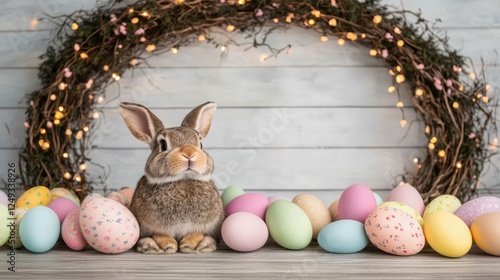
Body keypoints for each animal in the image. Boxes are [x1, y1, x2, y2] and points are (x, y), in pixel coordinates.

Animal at [118, 101, 224, 254]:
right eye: (163, 144)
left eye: (201, 144)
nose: (189, 152)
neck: (182, 180)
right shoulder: (150, 226)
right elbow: (160, 234)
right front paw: (168, 246)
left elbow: (196, 234)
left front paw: (188, 245)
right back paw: (149, 246)